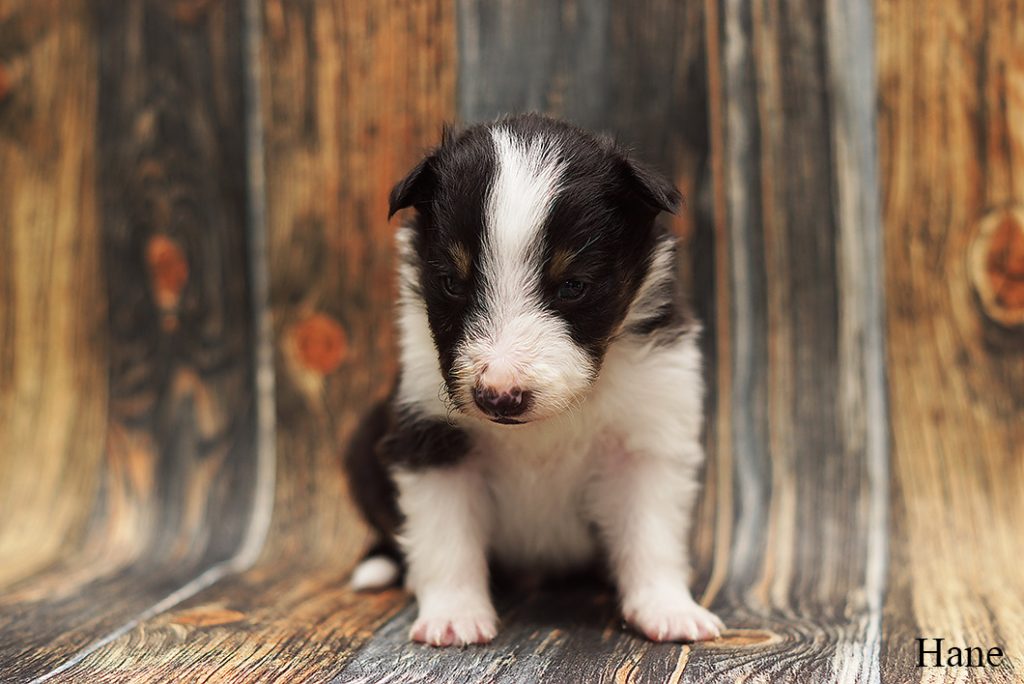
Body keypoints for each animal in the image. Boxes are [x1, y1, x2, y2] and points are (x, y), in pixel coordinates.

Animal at [344, 113, 720, 647]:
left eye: (574, 286)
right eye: (452, 282)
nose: (499, 397)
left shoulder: (648, 431)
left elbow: (651, 531)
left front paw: (668, 608)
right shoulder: (430, 436)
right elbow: (445, 535)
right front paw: (454, 615)